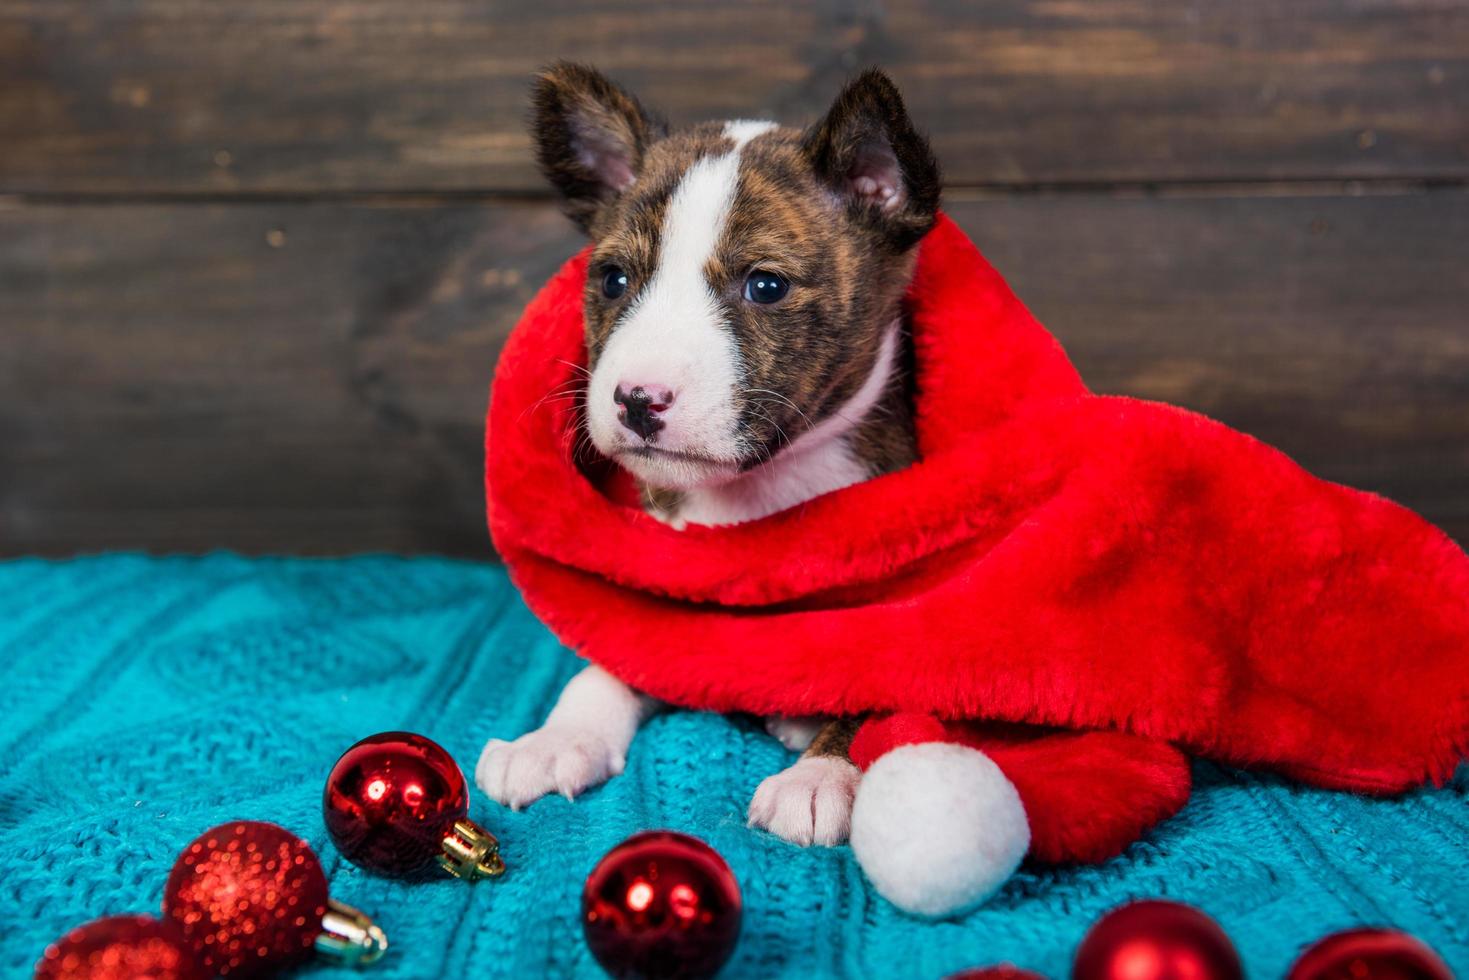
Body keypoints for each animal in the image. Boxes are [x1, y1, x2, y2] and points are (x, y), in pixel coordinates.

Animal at [481, 65, 940, 852]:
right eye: (613, 280)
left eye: (765, 286)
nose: (637, 400)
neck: (761, 489)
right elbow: (604, 666)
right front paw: (554, 740)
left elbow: (877, 693)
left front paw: (821, 778)